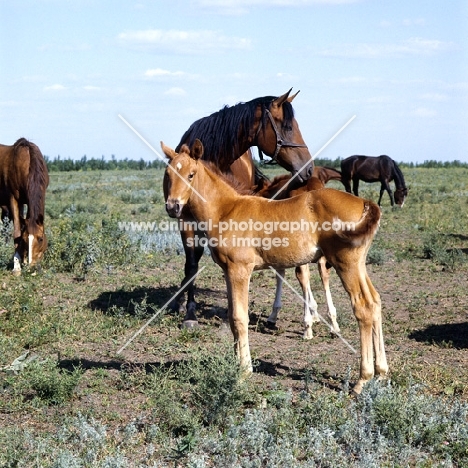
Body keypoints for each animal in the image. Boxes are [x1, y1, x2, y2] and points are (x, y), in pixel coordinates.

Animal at [0, 137, 49, 274]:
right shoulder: (13, 199)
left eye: (41, 239)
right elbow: (17, 231)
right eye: (25, 239)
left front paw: (24, 260)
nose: (32, 268)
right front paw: (17, 266)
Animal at [163, 141, 390, 394]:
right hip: (359, 264)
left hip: (345, 263)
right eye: (168, 174)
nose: (173, 207)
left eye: (191, 174)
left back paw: (363, 379)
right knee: (375, 301)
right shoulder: (228, 271)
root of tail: (365, 203)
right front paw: (236, 364)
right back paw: (381, 373)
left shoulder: (240, 270)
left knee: (363, 307)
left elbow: (240, 318)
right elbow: (232, 318)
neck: (227, 209)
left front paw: (244, 371)